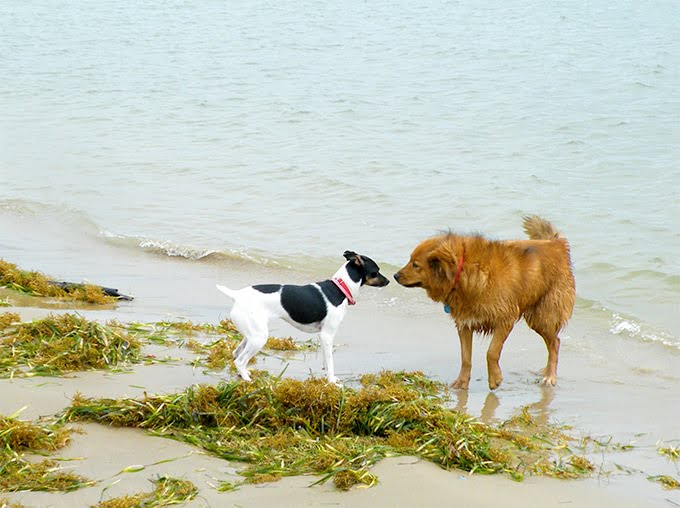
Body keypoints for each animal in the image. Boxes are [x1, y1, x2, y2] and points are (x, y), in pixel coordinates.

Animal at [215, 250, 390, 384]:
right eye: (376, 270)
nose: (389, 280)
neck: (340, 288)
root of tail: (237, 295)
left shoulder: (323, 337)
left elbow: (326, 360)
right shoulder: (327, 335)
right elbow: (330, 362)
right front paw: (332, 381)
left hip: (251, 334)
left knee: (236, 354)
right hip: (259, 338)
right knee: (239, 360)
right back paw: (248, 381)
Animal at [394, 216, 572, 390]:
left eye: (415, 265)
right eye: (410, 261)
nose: (395, 276)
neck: (463, 274)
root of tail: (555, 244)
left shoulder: (505, 319)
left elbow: (491, 352)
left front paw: (495, 379)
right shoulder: (465, 324)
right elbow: (465, 358)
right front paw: (462, 382)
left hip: (542, 316)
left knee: (555, 343)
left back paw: (550, 376)